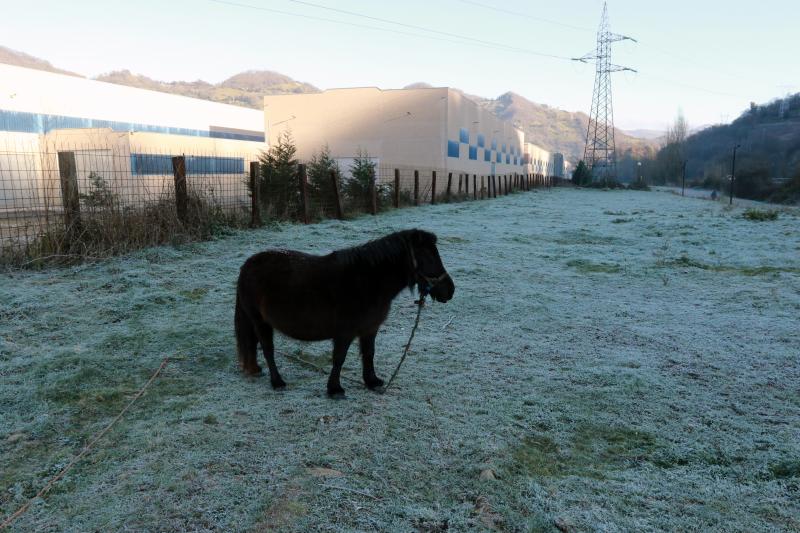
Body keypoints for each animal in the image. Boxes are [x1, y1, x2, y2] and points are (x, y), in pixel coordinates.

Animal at [234, 228, 454, 394]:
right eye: (427, 256)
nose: (450, 291)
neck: (368, 282)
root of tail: (247, 266)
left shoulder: (370, 329)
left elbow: (369, 353)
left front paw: (372, 381)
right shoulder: (345, 332)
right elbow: (339, 358)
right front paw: (335, 389)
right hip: (260, 321)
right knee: (268, 349)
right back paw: (277, 382)